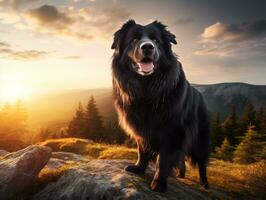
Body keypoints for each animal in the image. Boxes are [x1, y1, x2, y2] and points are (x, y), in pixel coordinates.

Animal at [110, 19, 210, 192]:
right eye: (134, 39)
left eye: (156, 40)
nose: (147, 47)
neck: (147, 88)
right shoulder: (141, 128)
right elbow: (142, 150)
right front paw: (139, 168)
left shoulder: (173, 131)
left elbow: (164, 159)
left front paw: (159, 182)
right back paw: (181, 175)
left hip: (200, 140)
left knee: (202, 163)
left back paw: (204, 184)